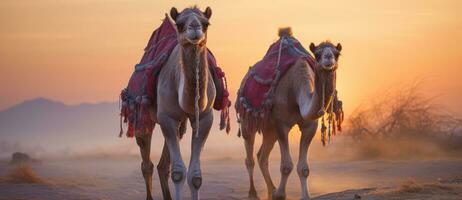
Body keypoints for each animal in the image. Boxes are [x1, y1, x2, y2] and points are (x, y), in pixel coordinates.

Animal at [134, 6, 216, 200]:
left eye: (206, 23)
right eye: (179, 24)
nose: (194, 28)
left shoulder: (204, 118)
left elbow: (195, 176)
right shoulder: (167, 116)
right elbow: (178, 173)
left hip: (179, 125)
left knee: (162, 165)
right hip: (143, 114)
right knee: (146, 161)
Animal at [236, 30, 342, 200]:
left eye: (337, 53)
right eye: (317, 54)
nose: (328, 59)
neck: (296, 89)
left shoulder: (310, 126)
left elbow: (303, 168)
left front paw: (304, 196)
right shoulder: (282, 124)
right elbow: (286, 166)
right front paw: (280, 195)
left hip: (269, 129)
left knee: (262, 156)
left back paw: (270, 191)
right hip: (247, 118)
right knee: (250, 157)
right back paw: (253, 194)